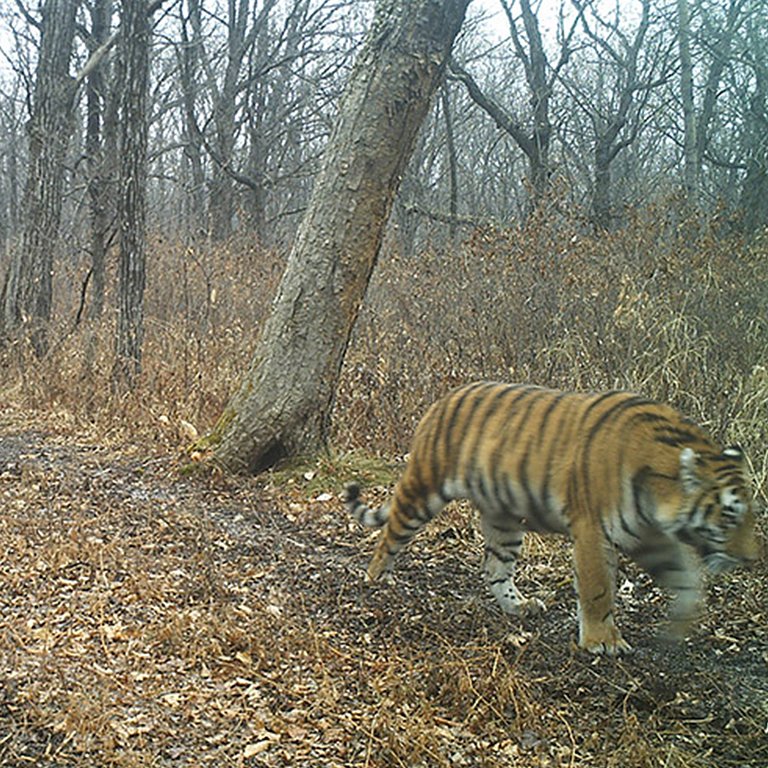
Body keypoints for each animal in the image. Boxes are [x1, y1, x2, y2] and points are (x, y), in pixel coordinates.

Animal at [344, 382, 760, 656]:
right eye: (728, 515)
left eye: (752, 516)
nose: (753, 559)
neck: (659, 497)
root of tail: (443, 399)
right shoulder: (593, 529)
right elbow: (598, 589)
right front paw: (602, 642)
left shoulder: (650, 537)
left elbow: (686, 579)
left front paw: (680, 626)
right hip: (423, 490)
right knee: (390, 535)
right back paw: (378, 578)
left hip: (505, 519)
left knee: (494, 569)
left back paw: (520, 606)